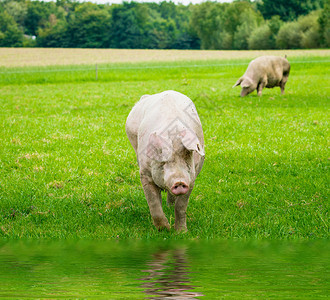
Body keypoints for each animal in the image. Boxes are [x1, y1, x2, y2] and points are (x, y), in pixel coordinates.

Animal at [125, 90, 205, 231]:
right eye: (163, 162)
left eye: (186, 157)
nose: (179, 181)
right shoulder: (145, 174)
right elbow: (153, 202)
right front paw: (164, 229)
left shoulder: (191, 178)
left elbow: (181, 207)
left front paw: (181, 232)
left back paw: (170, 206)